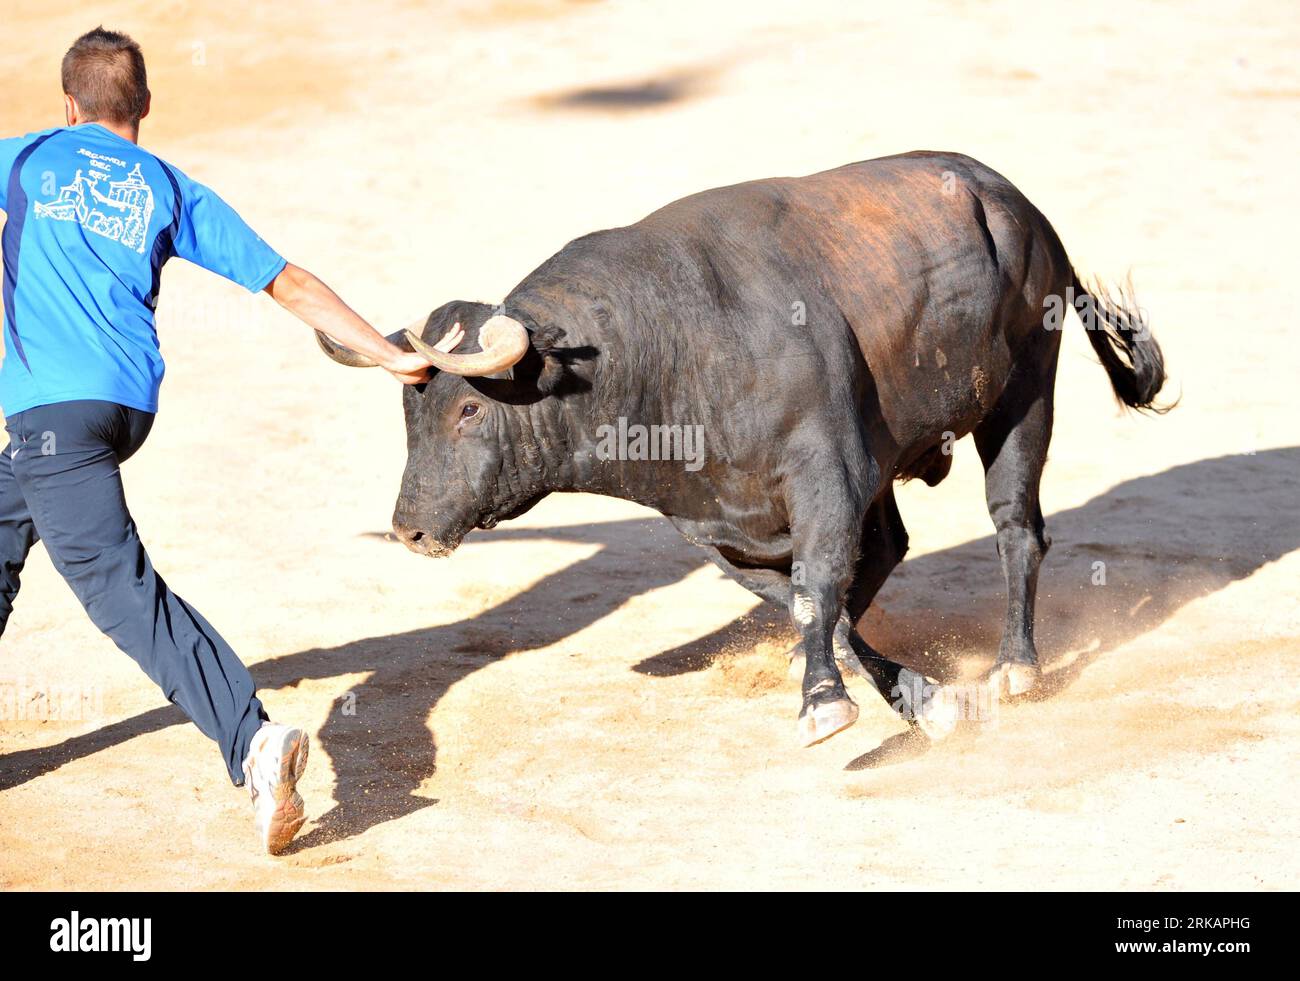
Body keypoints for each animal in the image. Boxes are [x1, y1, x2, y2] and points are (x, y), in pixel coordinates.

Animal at [317, 151, 1170, 743]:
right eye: (408, 412)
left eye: (469, 408)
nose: (410, 529)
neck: (665, 343)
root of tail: (1012, 202)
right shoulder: (707, 519)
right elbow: (796, 595)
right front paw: (904, 693)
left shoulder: (827, 471)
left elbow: (816, 581)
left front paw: (830, 703)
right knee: (892, 544)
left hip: (1024, 390)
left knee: (1016, 525)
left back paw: (1017, 665)